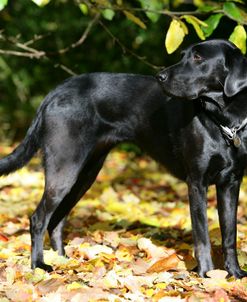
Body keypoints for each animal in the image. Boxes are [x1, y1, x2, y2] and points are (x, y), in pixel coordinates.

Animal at [157, 39, 247, 278]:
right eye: (182, 55)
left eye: (198, 57)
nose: (159, 76)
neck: (223, 122)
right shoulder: (197, 182)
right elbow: (202, 235)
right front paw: (207, 274)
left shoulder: (231, 183)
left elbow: (230, 233)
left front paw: (234, 273)